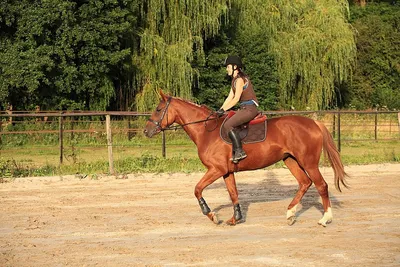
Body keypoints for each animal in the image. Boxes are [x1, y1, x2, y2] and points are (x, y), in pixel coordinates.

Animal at [144, 91, 346, 226]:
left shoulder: (216, 170)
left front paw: (211, 215)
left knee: (321, 185)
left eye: (158, 109)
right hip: (290, 160)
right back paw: (290, 213)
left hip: (309, 162)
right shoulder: (226, 172)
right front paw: (236, 218)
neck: (206, 131)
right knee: (305, 183)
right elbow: (233, 193)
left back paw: (325, 218)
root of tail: (314, 123)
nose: (146, 131)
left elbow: (197, 189)